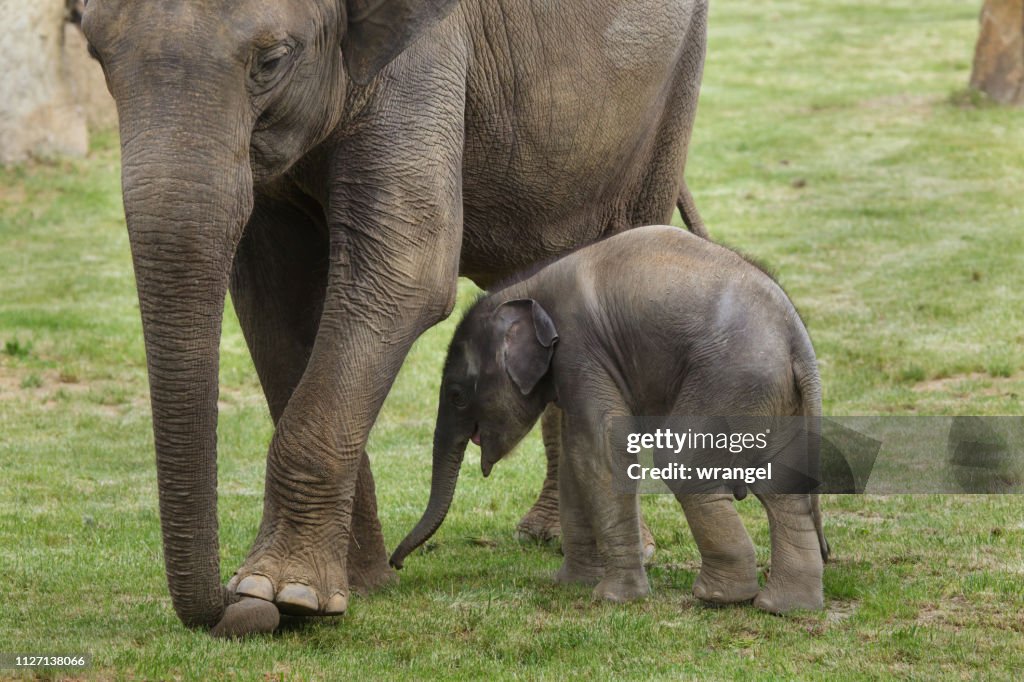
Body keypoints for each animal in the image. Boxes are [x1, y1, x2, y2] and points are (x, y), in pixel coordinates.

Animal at [79, 0, 708, 630]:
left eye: (272, 61)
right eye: (93, 53)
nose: (230, 609)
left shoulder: (426, 53)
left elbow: (404, 271)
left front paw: (280, 591)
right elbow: (273, 293)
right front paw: (337, 589)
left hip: (670, 91)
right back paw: (548, 536)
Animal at [387, 223, 827, 610]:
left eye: (457, 396)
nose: (397, 564)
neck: (526, 288)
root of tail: (797, 339)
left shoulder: (579, 348)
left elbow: (599, 451)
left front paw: (614, 598)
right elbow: (575, 459)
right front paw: (570, 584)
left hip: (730, 379)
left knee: (684, 464)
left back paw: (718, 597)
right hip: (769, 394)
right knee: (781, 485)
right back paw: (783, 607)